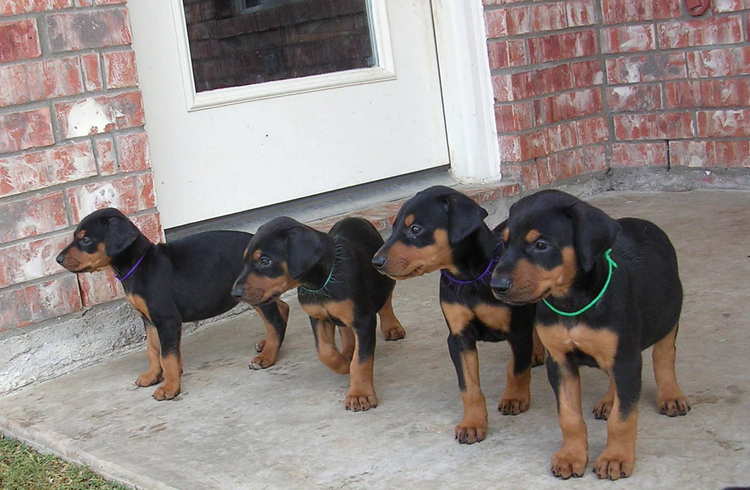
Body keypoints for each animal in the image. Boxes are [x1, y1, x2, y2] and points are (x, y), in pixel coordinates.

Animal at [55, 209, 290, 400]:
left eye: (85, 239)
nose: (58, 259)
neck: (139, 264)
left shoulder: (166, 319)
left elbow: (167, 356)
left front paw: (170, 387)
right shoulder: (149, 319)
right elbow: (153, 349)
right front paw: (152, 376)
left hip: (256, 293)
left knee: (275, 322)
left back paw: (267, 356)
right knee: (282, 309)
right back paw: (268, 344)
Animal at [234, 216, 408, 412]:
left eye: (265, 260)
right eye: (245, 261)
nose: (235, 293)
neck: (322, 282)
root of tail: (354, 217)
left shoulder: (363, 319)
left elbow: (361, 361)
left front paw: (359, 394)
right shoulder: (318, 317)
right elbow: (324, 351)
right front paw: (343, 364)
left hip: (382, 278)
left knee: (386, 301)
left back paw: (392, 327)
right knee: (345, 330)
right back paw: (347, 351)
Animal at [372, 185, 544, 444]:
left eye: (415, 229)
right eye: (393, 228)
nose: (376, 261)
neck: (469, 278)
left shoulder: (516, 330)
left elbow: (517, 368)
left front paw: (515, 397)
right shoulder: (459, 336)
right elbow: (469, 387)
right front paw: (472, 424)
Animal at [490, 189, 692, 480]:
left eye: (541, 244)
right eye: (504, 244)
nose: (496, 286)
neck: (572, 303)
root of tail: (645, 223)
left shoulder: (626, 358)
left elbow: (623, 418)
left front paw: (615, 458)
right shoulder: (559, 361)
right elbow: (569, 416)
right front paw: (571, 456)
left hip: (668, 314)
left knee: (664, 356)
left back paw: (671, 395)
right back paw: (609, 400)